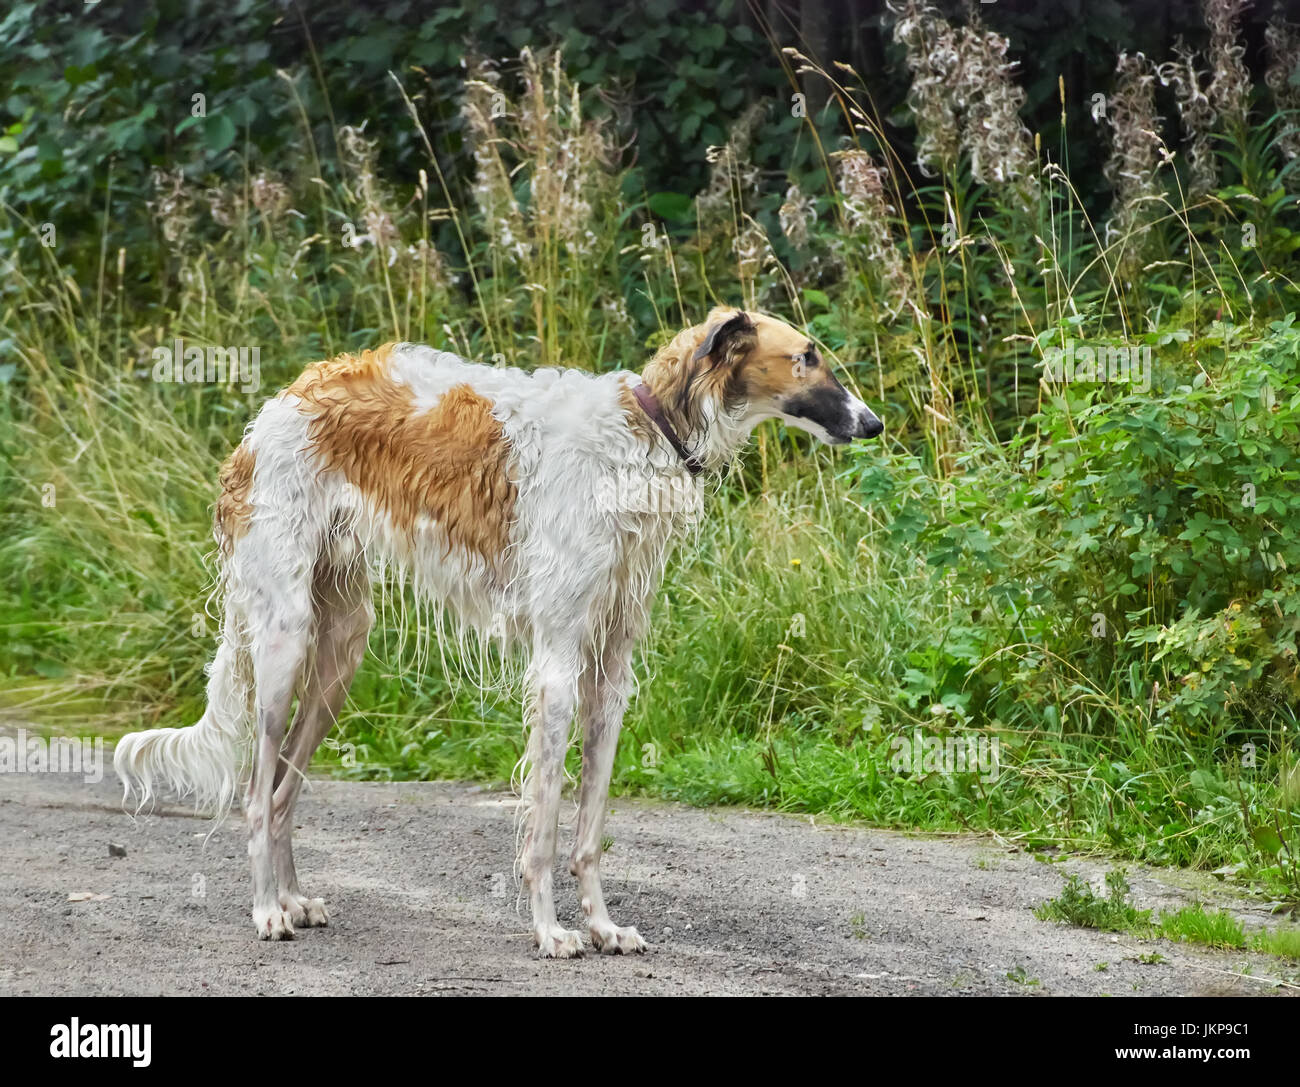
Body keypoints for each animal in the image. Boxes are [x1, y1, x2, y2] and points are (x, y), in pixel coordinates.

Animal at [116, 308, 883, 962]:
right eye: (807, 357)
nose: (873, 423)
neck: (643, 434)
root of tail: (276, 407)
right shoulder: (557, 665)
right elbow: (542, 827)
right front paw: (551, 933)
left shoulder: (612, 674)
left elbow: (588, 831)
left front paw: (603, 927)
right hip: (284, 639)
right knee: (255, 792)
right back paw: (266, 911)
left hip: (341, 651)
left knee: (281, 794)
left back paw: (294, 899)